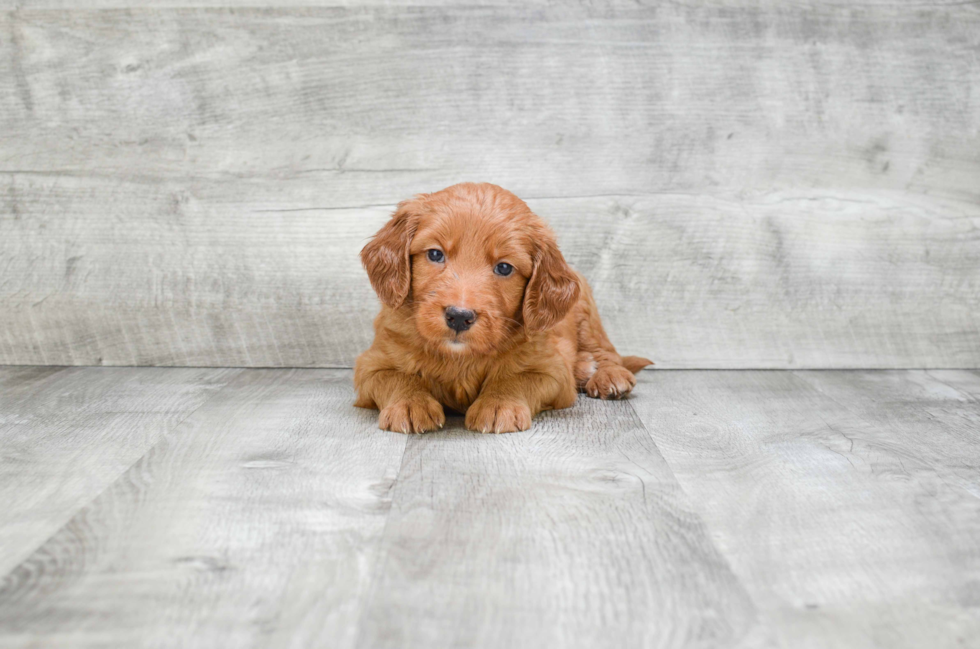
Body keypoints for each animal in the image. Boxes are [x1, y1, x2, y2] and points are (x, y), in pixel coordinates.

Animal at [352, 180, 652, 432]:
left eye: (504, 268)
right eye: (435, 254)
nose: (459, 316)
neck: (461, 358)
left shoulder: (551, 371)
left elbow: (515, 378)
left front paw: (498, 404)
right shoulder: (370, 365)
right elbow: (397, 377)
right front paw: (409, 402)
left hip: (585, 312)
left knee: (606, 351)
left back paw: (605, 374)